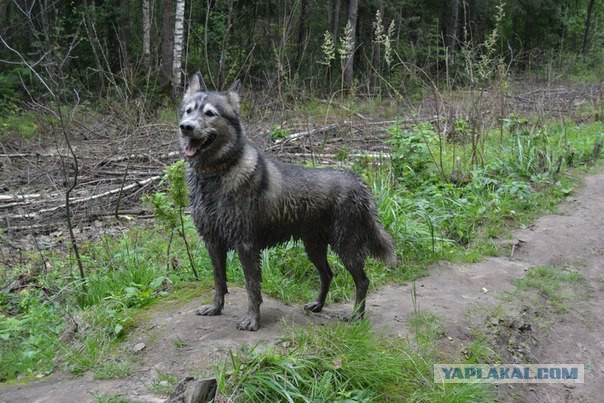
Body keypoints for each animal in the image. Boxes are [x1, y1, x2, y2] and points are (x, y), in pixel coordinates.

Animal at [178, 72, 396, 332]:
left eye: (210, 113)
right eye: (188, 111)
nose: (186, 127)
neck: (215, 174)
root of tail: (359, 183)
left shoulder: (246, 245)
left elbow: (252, 287)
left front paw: (253, 320)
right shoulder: (213, 242)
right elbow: (219, 281)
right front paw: (215, 308)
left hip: (347, 247)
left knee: (362, 281)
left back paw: (356, 316)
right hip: (314, 247)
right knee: (328, 274)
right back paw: (318, 305)